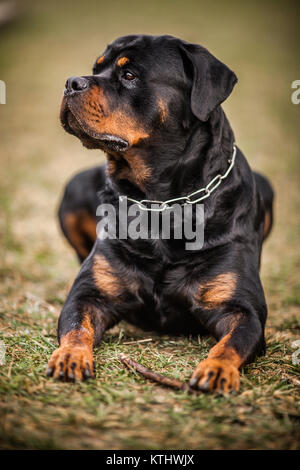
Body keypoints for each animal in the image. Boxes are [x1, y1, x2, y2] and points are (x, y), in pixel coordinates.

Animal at [45, 35, 274, 392]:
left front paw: (217, 370)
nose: (72, 82)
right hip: (75, 185)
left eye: (129, 76)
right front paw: (71, 356)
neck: (160, 202)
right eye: (97, 68)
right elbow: (76, 326)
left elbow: (232, 342)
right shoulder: (88, 295)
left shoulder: (242, 309)